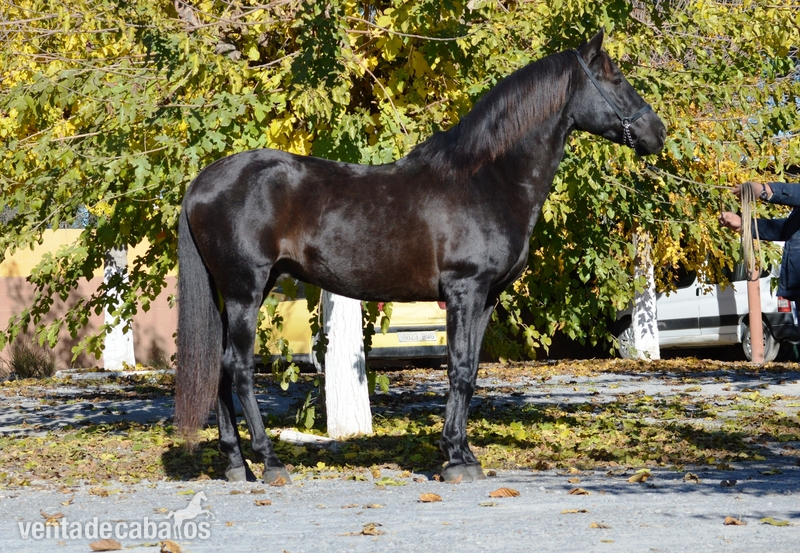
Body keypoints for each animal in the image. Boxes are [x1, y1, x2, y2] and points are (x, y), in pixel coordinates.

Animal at [175, 30, 666, 484]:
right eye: (616, 78)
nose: (657, 133)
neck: (485, 179)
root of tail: (201, 183)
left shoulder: (485, 298)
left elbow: (469, 372)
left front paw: (462, 453)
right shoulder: (465, 289)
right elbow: (459, 369)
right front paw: (456, 460)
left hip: (237, 295)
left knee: (221, 371)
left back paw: (236, 465)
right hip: (246, 291)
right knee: (238, 369)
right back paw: (271, 463)